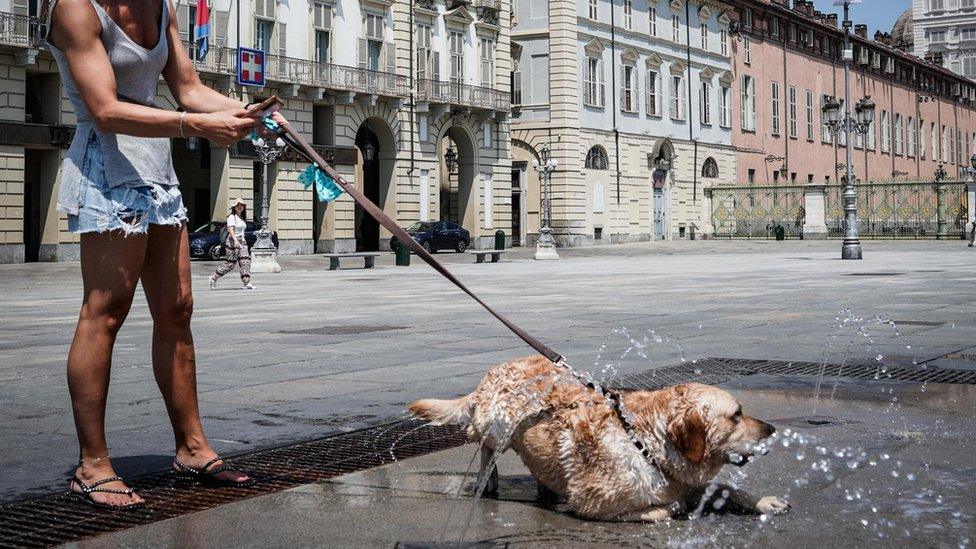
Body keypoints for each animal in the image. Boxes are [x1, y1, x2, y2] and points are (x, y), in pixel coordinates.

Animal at [408, 354, 788, 520]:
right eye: (736, 415)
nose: (772, 429)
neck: (643, 441)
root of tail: (492, 372)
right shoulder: (596, 501)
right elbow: (664, 509)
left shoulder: (681, 475)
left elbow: (727, 487)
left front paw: (764, 501)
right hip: (495, 427)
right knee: (485, 448)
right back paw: (488, 480)